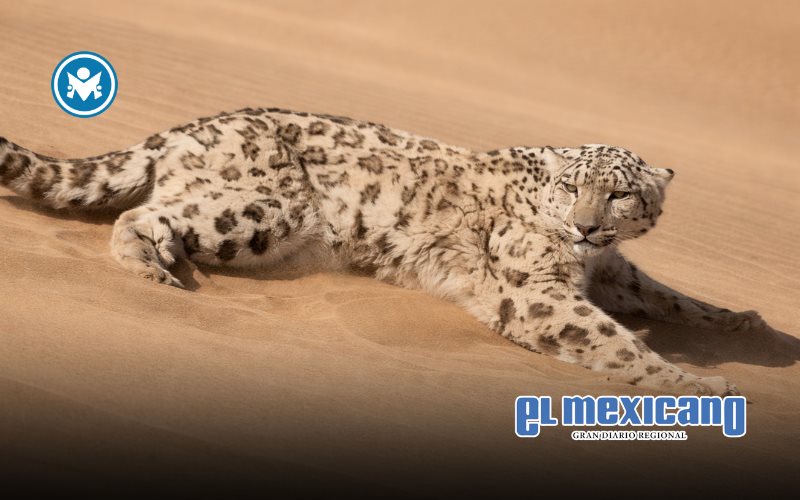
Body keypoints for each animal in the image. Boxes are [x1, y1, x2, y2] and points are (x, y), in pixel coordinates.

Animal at [0, 107, 771, 395]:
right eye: (571, 187)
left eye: (621, 196)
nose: (584, 227)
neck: (582, 261)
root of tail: (185, 127)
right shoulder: (537, 289)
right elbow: (609, 338)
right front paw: (696, 383)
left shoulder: (611, 269)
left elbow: (664, 294)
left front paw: (741, 320)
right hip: (263, 211)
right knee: (142, 210)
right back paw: (151, 266)